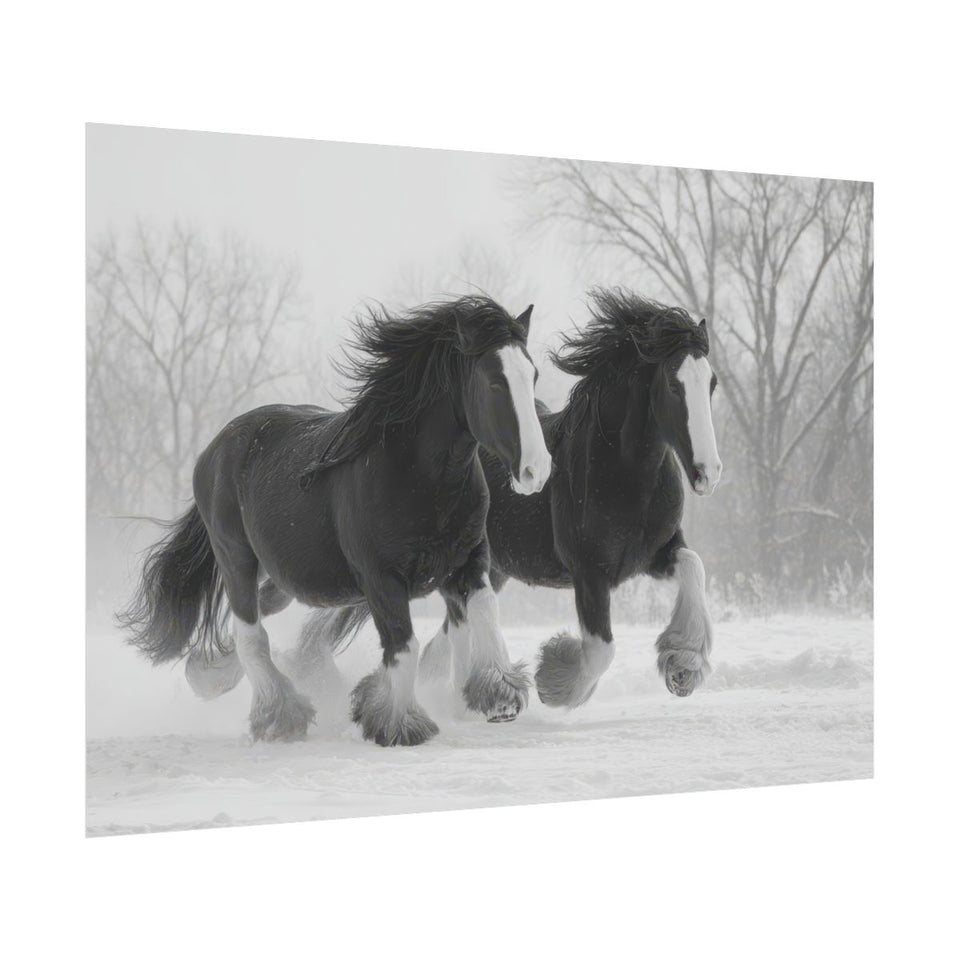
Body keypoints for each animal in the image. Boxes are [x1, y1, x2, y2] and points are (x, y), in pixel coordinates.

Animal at [118, 295, 552, 746]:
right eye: (495, 382)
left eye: (533, 375)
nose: (536, 471)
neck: (422, 479)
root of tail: (214, 449)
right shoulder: (381, 578)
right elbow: (405, 647)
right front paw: (398, 724)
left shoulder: (467, 561)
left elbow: (484, 613)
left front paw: (498, 695)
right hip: (235, 557)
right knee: (250, 634)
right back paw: (279, 715)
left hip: (286, 576)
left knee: (262, 611)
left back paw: (208, 674)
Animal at [290, 288, 721, 712]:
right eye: (674, 385)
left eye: (712, 383)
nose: (709, 472)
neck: (623, 474)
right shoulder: (590, 572)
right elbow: (601, 649)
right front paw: (554, 682)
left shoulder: (658, 552)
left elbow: (695, 566)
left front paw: (682, 667)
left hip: (488, 571)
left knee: (444, 640)